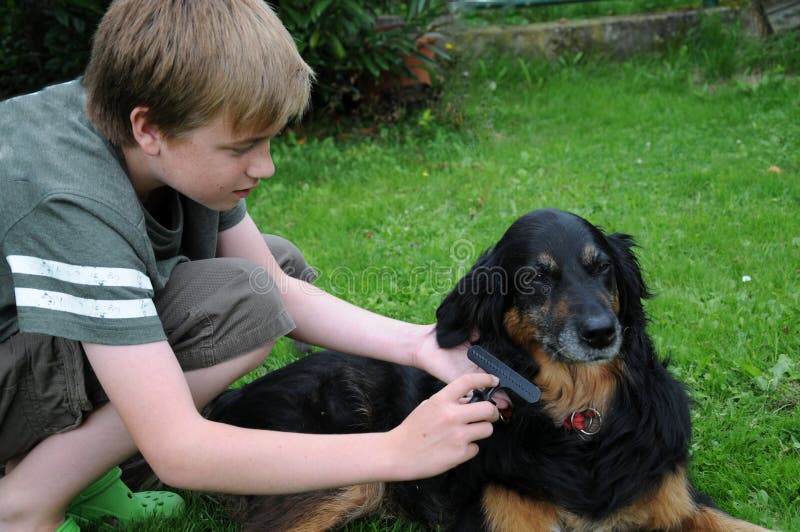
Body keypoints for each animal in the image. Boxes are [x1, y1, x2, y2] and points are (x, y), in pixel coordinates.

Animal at [205, 209, 768, 532]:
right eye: (535, 278)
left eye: (603, 267)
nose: (601, 333)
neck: (582, 419)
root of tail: (223, 404)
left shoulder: (679, 503)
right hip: (346, 474)